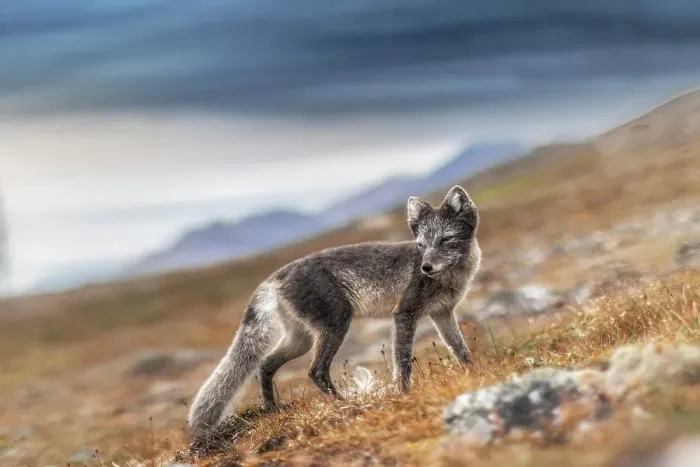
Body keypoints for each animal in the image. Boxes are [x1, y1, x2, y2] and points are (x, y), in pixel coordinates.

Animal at [187, 185, 482, 440]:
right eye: (421, 245)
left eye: (446, 240)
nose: (425, 268)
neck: (452, 276)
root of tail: (276, 276)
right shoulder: (405, 314)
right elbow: (404, 361)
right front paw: (404, 393)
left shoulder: (443, 314)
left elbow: (460, 349)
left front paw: (474, 374)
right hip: (336, 325)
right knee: (315, 371)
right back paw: (344, 404)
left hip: (301, 339)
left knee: (266, 364)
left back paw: (273, 409)